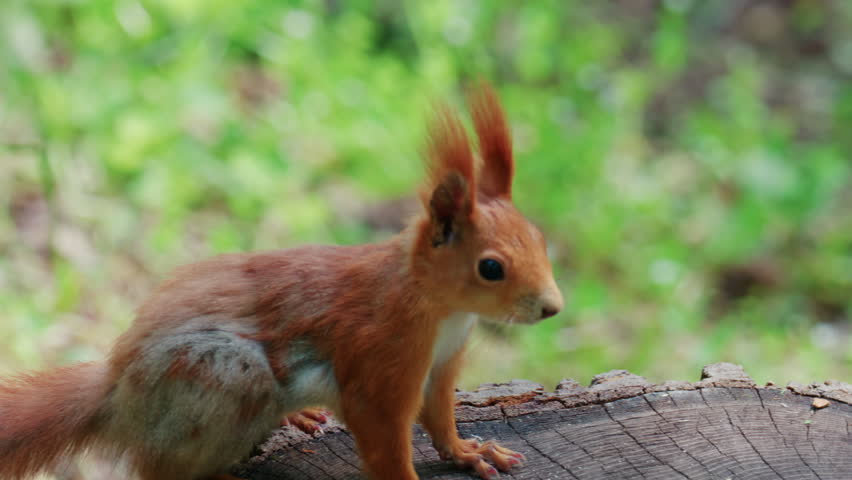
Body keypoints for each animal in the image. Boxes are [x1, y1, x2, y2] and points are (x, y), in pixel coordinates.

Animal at [0, 85, 563, 480]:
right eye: (490, 267)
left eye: (540, 237)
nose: (552, 307)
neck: (438, 306)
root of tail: (119, 394)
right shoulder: (380, 357)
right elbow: (385, 438)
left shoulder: (443, 363)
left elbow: (441, 417)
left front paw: (469, 451)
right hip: (219, 377)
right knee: (155, 468)